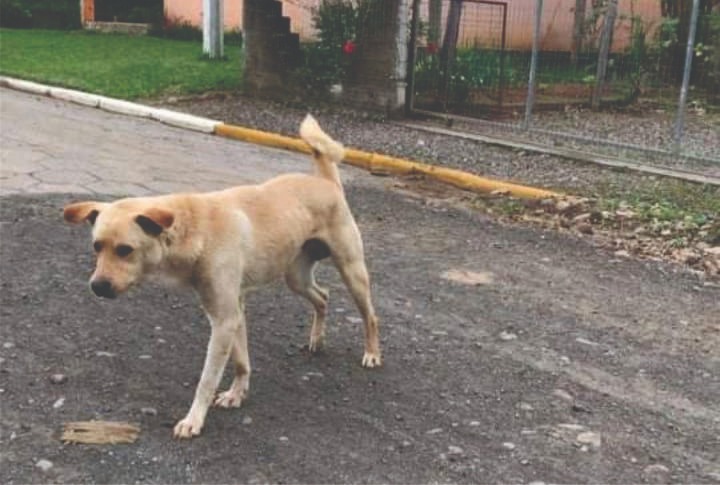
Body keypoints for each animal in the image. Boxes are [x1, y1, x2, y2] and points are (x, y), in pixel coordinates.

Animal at [64, 116, 382, 438]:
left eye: (125, 250)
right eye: (97, 246)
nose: (97, 286)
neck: (194, 229)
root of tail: (325, 180)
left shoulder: (224, 319)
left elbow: (207, 379)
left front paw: (194, 419)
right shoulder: (232, 312)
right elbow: (241, 362)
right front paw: (236, 394)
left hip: (352, 270)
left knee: (369, 315)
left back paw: (372, 353)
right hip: (296, 276)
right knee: (323, 297)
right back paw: (317, 339)